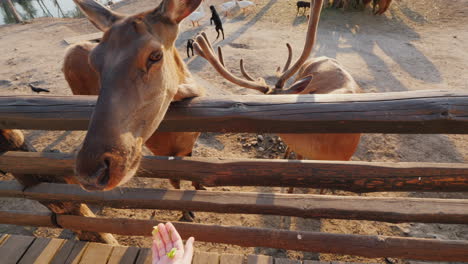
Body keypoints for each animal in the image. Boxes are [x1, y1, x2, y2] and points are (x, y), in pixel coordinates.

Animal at [62, 0, 207, 222]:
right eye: (93, 61)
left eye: (155, 55)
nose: (92, 172)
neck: (180, 136)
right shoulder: (162, 153)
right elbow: (174, 182)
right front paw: (188, 213)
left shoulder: (189, 147)